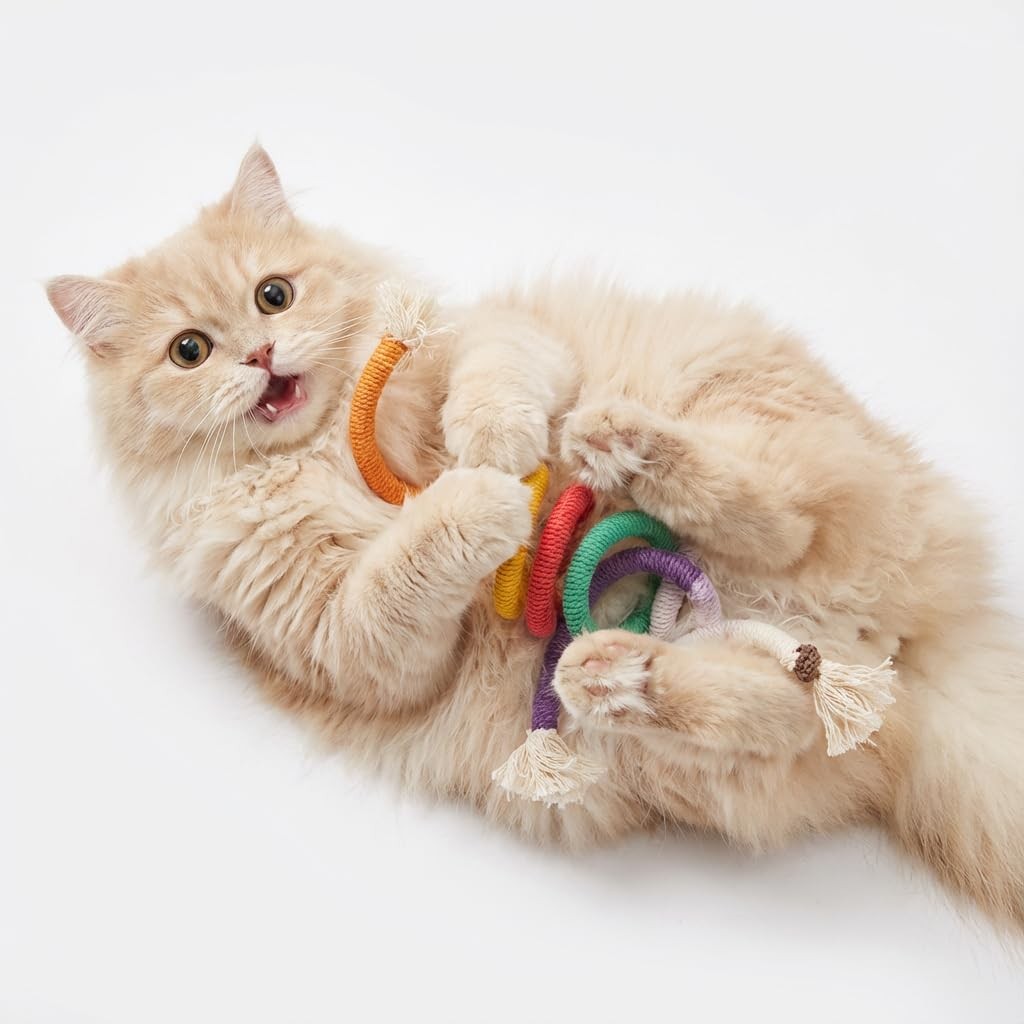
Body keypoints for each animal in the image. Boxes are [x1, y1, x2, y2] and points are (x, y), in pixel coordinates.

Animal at [47, 145, 1023, 930]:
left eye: (273, 295)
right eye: (189, 351)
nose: (257, 357)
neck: (324, 445)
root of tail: (910, 643)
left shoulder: (501, 337)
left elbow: (495, 378)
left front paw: (489, 448)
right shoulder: (343, 642)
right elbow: (399, 572)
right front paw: (476, 499)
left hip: (745, 404)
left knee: (784, 518)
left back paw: (619, 447)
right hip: (709, 759)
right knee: (768, 704)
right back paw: (616, 672)